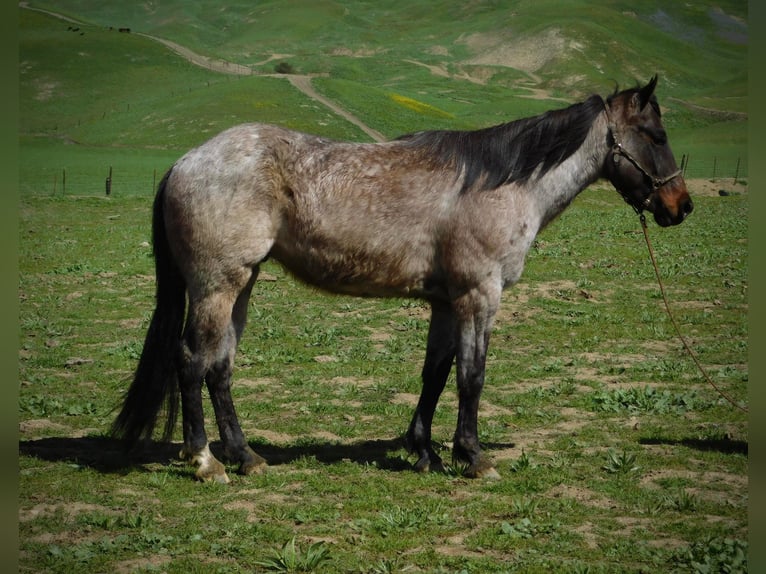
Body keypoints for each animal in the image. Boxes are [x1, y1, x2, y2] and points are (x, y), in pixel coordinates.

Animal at [112, 74, 696, 484]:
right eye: (657, 135)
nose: (681, 206)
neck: (500, 184)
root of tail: (187, 161)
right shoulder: (479, 296)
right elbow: (471, 377)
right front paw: (473, 456)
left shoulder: (446, 302)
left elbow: (434, 374)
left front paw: (424, 450)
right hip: (217, 284)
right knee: (193, 361)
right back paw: (206, 461)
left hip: (242, 284)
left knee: (220, 366)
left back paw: (246, 456)